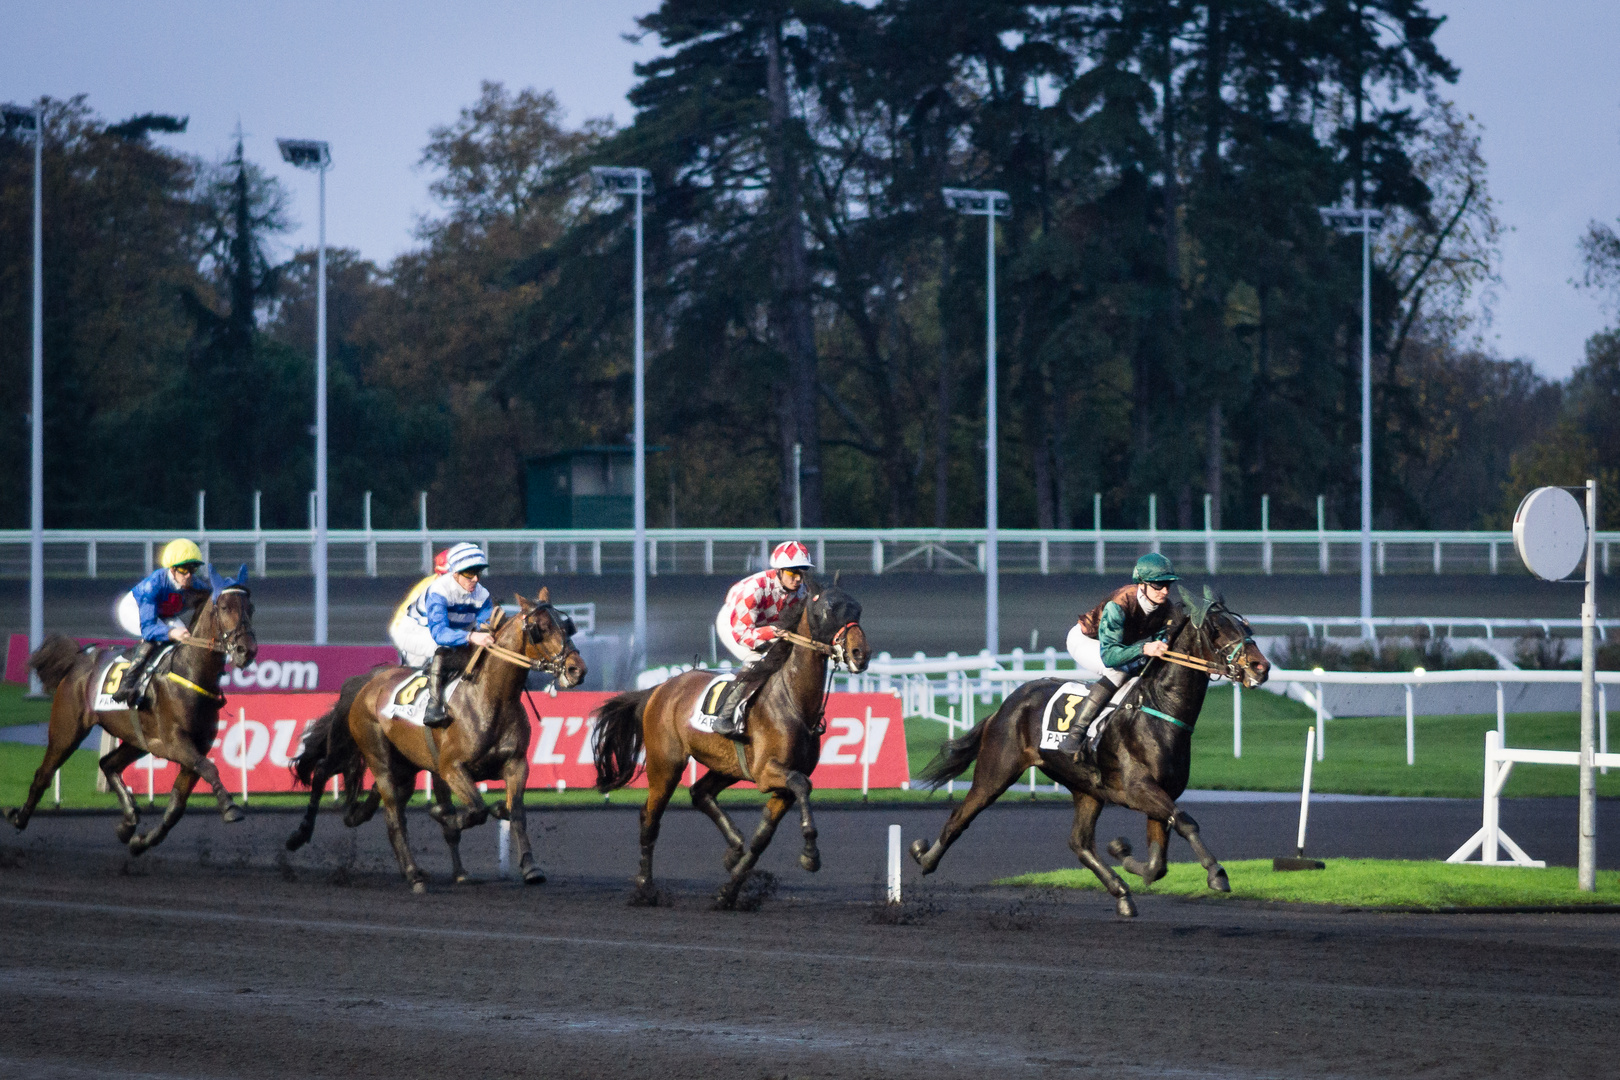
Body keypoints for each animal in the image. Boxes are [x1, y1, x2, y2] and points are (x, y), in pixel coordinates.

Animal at [7, 566, 259, 854]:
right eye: (225, 607)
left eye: (250, 608)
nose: (247, 650)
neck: (191, 673)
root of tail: (78, 660)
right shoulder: (176, 742)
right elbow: (209, 768)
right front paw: (230, 806)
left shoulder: (197, 745)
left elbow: (177, 804)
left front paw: (142, 841)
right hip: (66, 730)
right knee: (44, 774)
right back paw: (19, 818)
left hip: (137, 740)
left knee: (107, 763)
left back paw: (129, 820)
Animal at [288, 595, 586, 893]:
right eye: (541, 628)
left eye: (568, 626)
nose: (577, 670)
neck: (490, 699)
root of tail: (366, 682)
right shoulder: (451, 767)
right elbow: (476, 810)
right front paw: (442, 814)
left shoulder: (516, 763)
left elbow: (517, 812)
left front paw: (530, 867)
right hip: (373, 754)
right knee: (363, 796)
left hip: (404, 766)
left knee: (379, 802)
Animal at [592, 579, 874, 906]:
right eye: (828, 609)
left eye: (858, 609)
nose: (861, 653)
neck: (794, 701)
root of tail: (660, 688)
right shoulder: (767, 772)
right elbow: (803, 785)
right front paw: (810, 855)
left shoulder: (783, 785)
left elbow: (763, 837)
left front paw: (730, 890)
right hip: (666, 763)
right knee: (650, 818)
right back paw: (646, 889)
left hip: (725, 765)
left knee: (699, 793)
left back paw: (734, 847)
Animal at [913, 586, 1263, 919]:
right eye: (1217, 629)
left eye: (1245, 625)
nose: (1262, 667)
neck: (1159, 710)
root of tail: (1005, 706)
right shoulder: (1140, 789)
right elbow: (1186, 823)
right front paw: (1217, 873)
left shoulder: (1161, 794)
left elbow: (1157, 864)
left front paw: (1122, 853)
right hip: (996, 772)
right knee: (960, 817)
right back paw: (924, 857)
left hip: (1086, 789)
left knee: (1079, 843)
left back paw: (1122, 894)